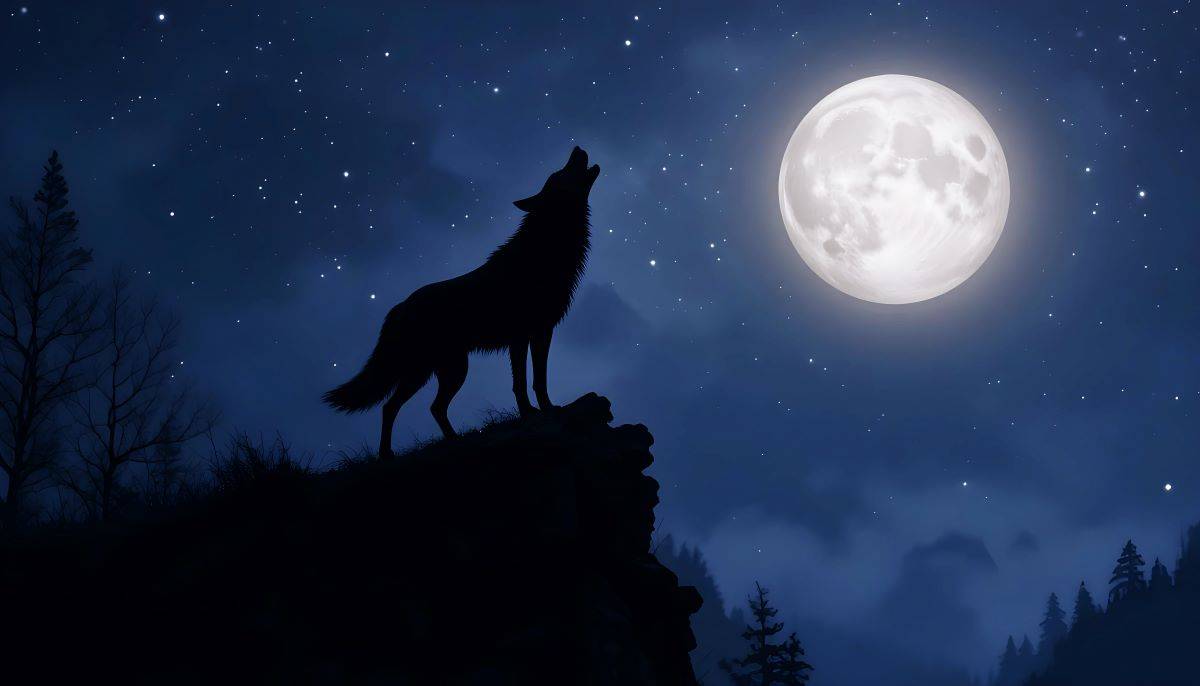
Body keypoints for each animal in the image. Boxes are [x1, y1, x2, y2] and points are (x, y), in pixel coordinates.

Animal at [323, 146, 600, 456]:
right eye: (559, 172)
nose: (577, 148)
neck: (547, 248)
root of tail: (398, 307)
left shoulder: (539, 332)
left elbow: (535, 380)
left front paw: (543, 409)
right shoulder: (525, 335)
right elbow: (525, 382)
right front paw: (533, 413)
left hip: (448, 371)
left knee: (428, 408)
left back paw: (450, 441)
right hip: (432, 371)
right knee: (392, 407)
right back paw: (388, 454)